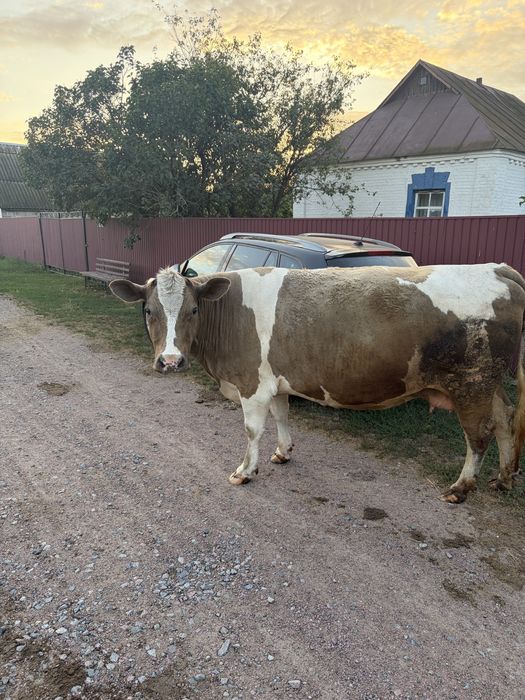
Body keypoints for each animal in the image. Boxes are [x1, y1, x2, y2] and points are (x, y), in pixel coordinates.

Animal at [110, 263, 525, 503]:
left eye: (193, 309)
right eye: (149, 311)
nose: (170, 361)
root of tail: (499, 268)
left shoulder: (251, 384)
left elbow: (252, 430)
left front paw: (245, 471)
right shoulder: (275, 380)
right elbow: (281, 417)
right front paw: (283, 453)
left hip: (472, 383)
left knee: (479, 435)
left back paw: (460, 489)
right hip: (490, 384)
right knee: (505, 420)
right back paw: (503, 479)